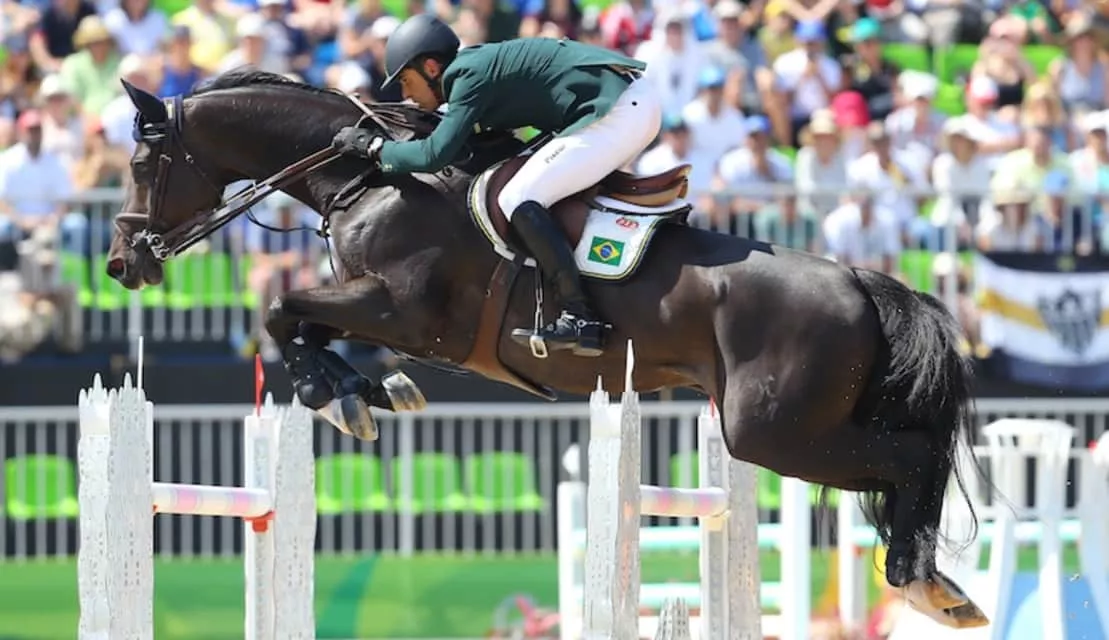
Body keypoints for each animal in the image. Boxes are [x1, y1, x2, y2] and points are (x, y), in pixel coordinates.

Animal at [106, 69, 988, 629]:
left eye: (144, 162)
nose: (123, 263)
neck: (367, 179)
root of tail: (857, 280)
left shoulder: (406, 312)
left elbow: (281, 310)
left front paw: (341, 398)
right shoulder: (389, 318)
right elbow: (305, 323)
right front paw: (371, 392)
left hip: (772, 432)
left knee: (912, 456)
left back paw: (918, 581)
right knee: (910, 458)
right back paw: (935, 586)